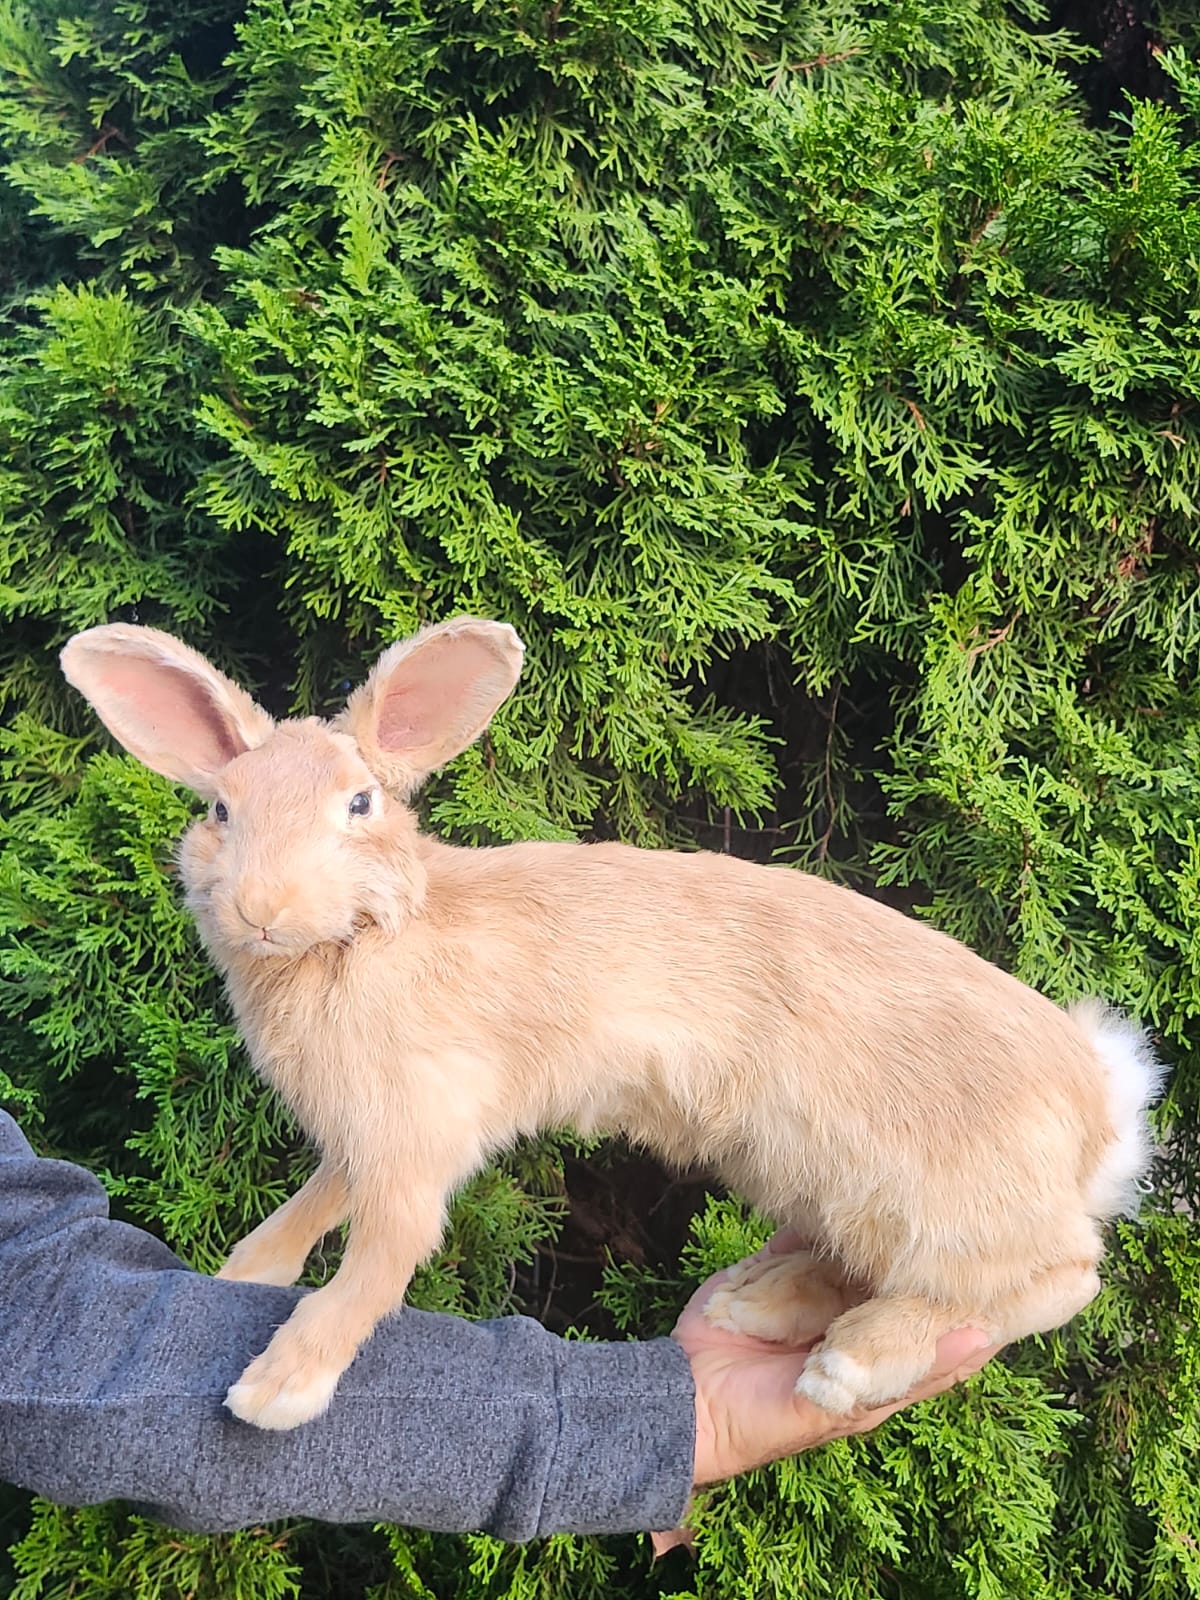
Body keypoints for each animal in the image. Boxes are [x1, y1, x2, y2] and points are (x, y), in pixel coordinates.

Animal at [60, 617, 1163, 1432]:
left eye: (360, 804)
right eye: (221, 810)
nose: (263, 908)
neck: (371, 935)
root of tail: (1101, 1100)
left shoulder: (415, 1138)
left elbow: (377, 1262)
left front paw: (280, 1388)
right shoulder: (364, 1132)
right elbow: (312, 1206)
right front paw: (242, 1274)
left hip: (934, 1198)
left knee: (1052, 1279)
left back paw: (853, 1363)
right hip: (826, 1181)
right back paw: (760, 1304)